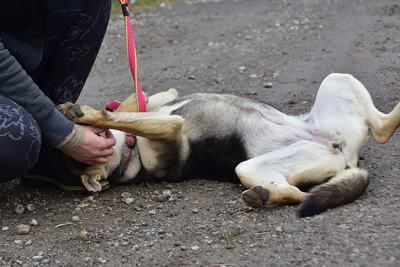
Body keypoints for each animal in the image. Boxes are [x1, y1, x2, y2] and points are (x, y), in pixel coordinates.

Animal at [59, 73, 400, 218]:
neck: (131, 153)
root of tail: (346, 155)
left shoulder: (162, 110)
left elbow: (133, 109)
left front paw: (90, 113)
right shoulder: (170, 125)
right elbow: (126, 117)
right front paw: (91, 114)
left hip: (336, 80)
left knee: (382, 126)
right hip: (249, 166)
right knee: (297, 194)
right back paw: (262, 197)